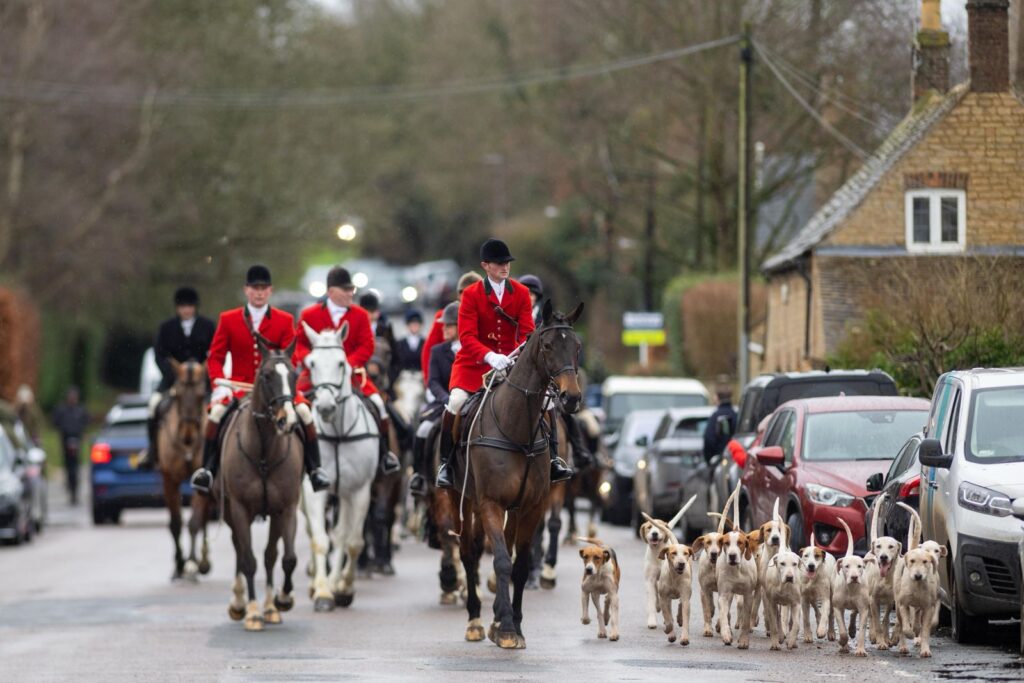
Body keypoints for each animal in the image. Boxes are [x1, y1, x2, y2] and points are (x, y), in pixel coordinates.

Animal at [153, 360, 209, 581]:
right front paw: (179, 565)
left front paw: (192, 563)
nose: (188, 436)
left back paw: (203, 562)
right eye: (177, 395)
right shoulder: (169, 479)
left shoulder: (201, 480)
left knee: (203, 520)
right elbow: (175, 523)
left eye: (202, 395)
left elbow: (195, 522)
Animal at [217, 339, 303, 634]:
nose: (287, 421)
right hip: (230, 513)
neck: (264, 451)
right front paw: (253, 612)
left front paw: (282, 600)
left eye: (295, 375)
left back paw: (270, 607)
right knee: (240, 550)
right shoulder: (240, 509)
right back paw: (239, 603)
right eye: (266, 376)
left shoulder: (286, 508)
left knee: (270, 555)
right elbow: (248, 560)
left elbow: (285, 558)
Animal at [299, 323, 380, 610]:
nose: (324, 407)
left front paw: (343, 587)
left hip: (345, 494)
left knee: (343, 534)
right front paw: (323, 592)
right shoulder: (313, 490)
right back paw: (317, 583)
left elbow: (353, 541)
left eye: (341, 363)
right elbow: (320, 540)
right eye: (310, 363)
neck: (337, 433)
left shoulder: (359, 491)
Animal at [448, 301, 585, 651]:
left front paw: (512, 624)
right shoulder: (490, 503)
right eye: (547, 346)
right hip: (462, 500)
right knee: (469, 552)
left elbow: (519, 564)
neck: (516, 428)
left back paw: (496, 617)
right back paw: (475, 620)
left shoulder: (532, 505)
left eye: (577, 346)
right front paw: (507, 627)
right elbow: (500, 560)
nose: (571, 398)